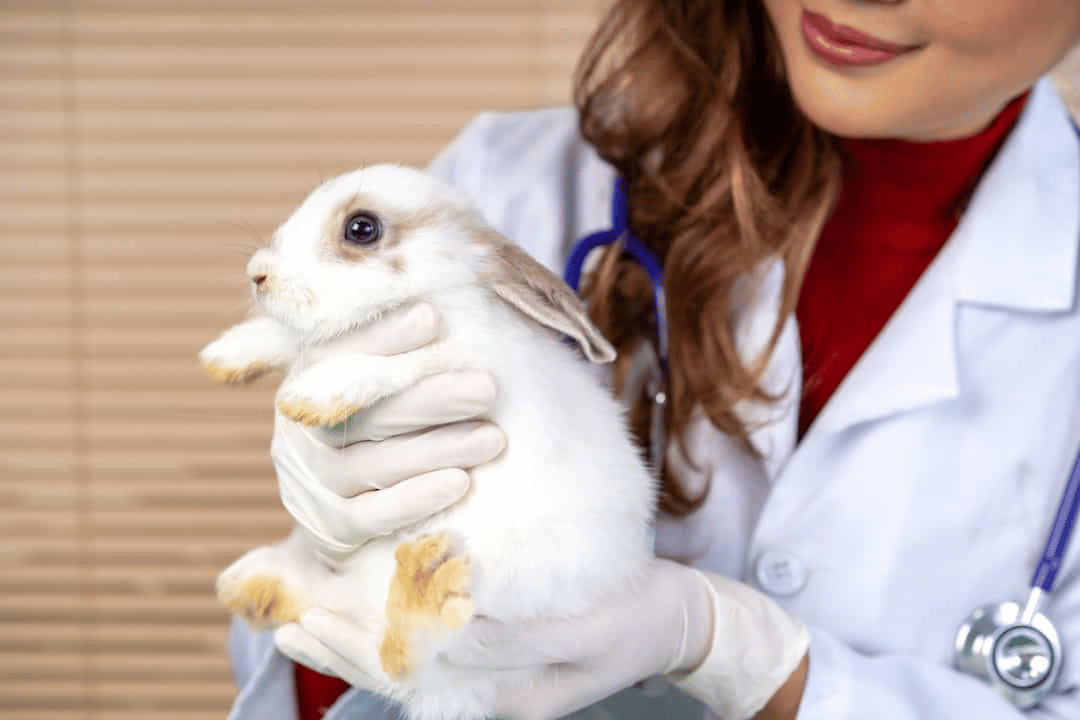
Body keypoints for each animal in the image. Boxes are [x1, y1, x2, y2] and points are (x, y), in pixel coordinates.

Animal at [199, 163, 657, 720]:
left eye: (361, 229)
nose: (257, 274)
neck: (436, 293)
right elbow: (295, 338)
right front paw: (227, 354)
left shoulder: (464, 358)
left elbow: (397, 364)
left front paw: (314, 395)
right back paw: (254, 584)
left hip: (488, 619)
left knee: (405, 663)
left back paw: (421, 595)